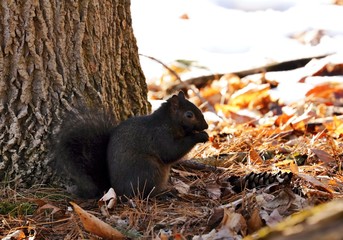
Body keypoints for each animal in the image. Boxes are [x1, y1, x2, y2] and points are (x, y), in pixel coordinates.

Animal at [53, 91, 208, 198]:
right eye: (189, 115)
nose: (206, 126)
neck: (168, 122)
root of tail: (115, 189)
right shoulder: (160, 136)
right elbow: (171, 152)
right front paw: (200, 136)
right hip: (149, 171)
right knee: (145, 194)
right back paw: (163, 194)